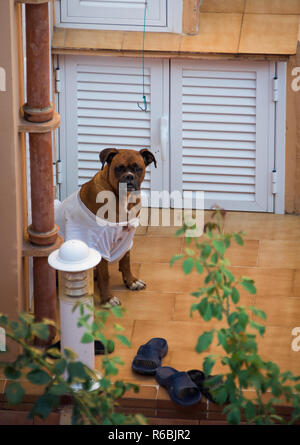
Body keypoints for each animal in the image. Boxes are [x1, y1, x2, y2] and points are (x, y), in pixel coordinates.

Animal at [56, 147, 157, 306]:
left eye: (137, 168)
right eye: (118, 168)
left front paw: (131, 281)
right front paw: (107, 298)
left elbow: (126, 261)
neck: (122, 198)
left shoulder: (126, 238)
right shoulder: (100, 243)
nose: (129, 177)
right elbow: (105, 276)